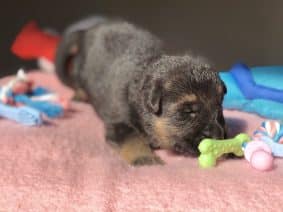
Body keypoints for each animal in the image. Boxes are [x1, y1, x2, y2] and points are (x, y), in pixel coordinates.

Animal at [55, 16, 229, 166]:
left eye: (219, 110)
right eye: (188, 112)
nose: (217, 137)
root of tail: (87, 30)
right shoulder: (120, 124)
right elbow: (134, 141)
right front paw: (145, 159)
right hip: (81, 71)